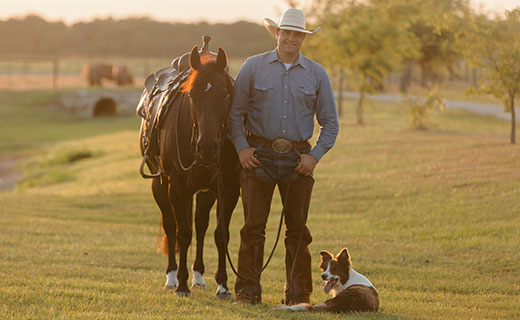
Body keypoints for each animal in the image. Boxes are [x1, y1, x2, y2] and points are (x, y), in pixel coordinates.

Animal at [140, 47, 242, 298]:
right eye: (193, 96)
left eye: (225, 95)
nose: (207, 147)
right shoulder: (176, 186)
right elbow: (183, 233)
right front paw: (182, 285)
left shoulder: (228, 187)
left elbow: (220, 234)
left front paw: (223, 286)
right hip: (160, 185)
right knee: (171, 225)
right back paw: (172, 277)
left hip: (205, 191)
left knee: (200, 225)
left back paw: (198, 276)